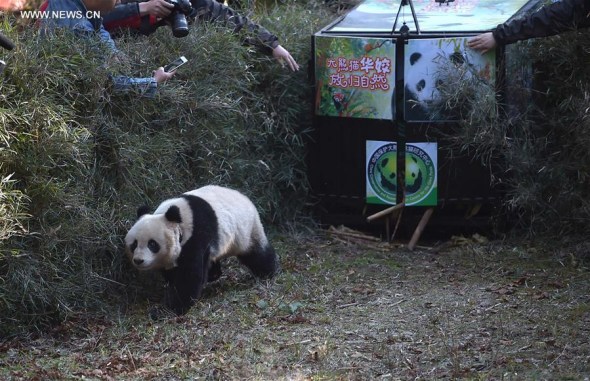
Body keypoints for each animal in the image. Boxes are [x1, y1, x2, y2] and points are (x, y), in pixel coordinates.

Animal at [124, 185, 280, 314]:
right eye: (134, 244)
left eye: (152, 244)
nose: (138, 260)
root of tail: (245, 197)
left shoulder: (196, 235)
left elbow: (189, 275)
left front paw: (169, 309)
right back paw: (214, 274)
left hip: (246, 230)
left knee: (257, 254)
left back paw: (269, 272)